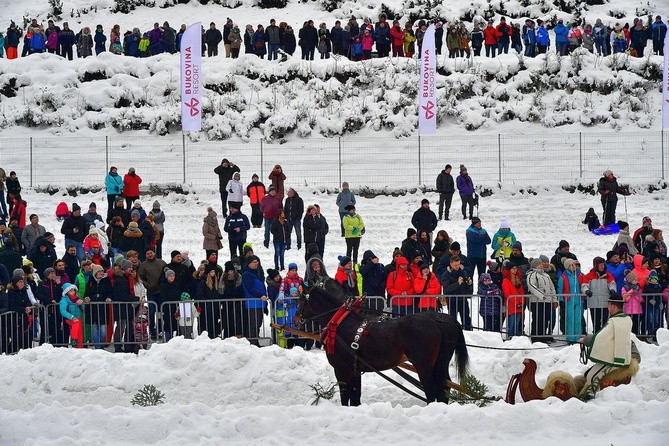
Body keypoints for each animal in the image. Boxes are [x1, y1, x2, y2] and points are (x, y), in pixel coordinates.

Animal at [298, 280, 470, 406]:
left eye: (300, 300)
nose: (297, 319)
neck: (340, 321)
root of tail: (438, 322)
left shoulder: (341, 369)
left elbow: (345, 396)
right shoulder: (354, 369)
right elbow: (355, 397)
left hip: (424, 366)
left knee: (431, 390)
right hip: (440, 363)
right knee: (444, 387)